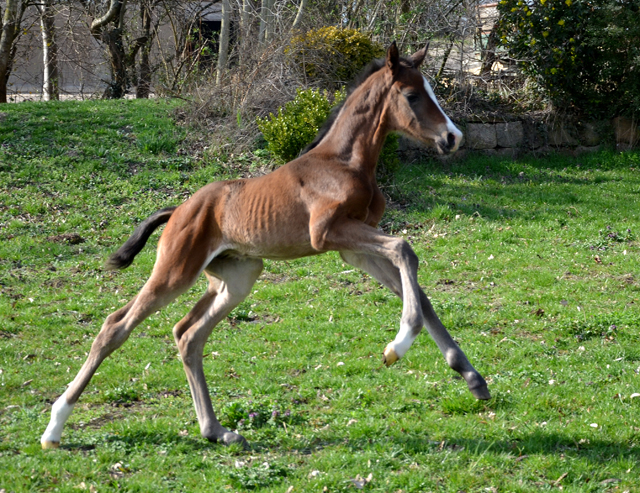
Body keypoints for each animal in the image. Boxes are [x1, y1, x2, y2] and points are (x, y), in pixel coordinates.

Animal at [40, 42, 490, 450]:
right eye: (412, 95)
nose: (453, 137)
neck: (343, 162)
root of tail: (180, 209)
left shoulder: (355, 247)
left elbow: (414, 283)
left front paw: (472, 377)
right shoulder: (329, 233)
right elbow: (404, 248)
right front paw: (397, 345)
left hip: (237, 276)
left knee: (188, 334)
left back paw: (216, 430)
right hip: (175, 271)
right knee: (115, 326)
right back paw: (54, 428)